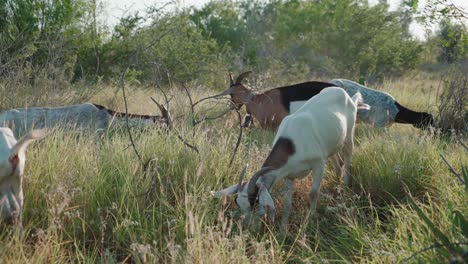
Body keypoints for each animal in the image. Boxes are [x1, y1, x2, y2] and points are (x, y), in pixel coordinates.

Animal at [212, 86, 370, 231]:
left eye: (255, 202)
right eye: (238, 203)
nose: (249, 229)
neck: (291, 144)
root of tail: (345, 94)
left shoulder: (319, 164)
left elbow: (313, 194)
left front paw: (309, 222)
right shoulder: (289, 175)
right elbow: (287, 203)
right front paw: (283, 231)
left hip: (348, 136)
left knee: (347, 160)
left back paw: (345, 188)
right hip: (332, 146)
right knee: (338, 163)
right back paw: (337, 187)